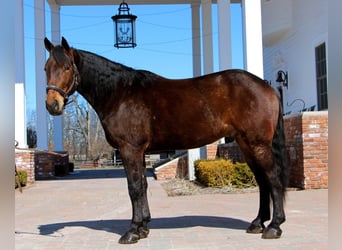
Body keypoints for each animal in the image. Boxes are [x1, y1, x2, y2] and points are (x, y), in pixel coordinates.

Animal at [43, 37, 288, 244]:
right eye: (46, 68)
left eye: (67, 68)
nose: (52, 104)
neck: (120, 93)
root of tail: (267, 87)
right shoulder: (140, 152)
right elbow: (142, 185)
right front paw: (143, 227)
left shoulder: (129, 149)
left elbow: (134, 188)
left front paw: (132, 232)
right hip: (246, 144)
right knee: (262, 181)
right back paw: (257, 223)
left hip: (258, 144)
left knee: (273, 179)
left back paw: (274, 227)